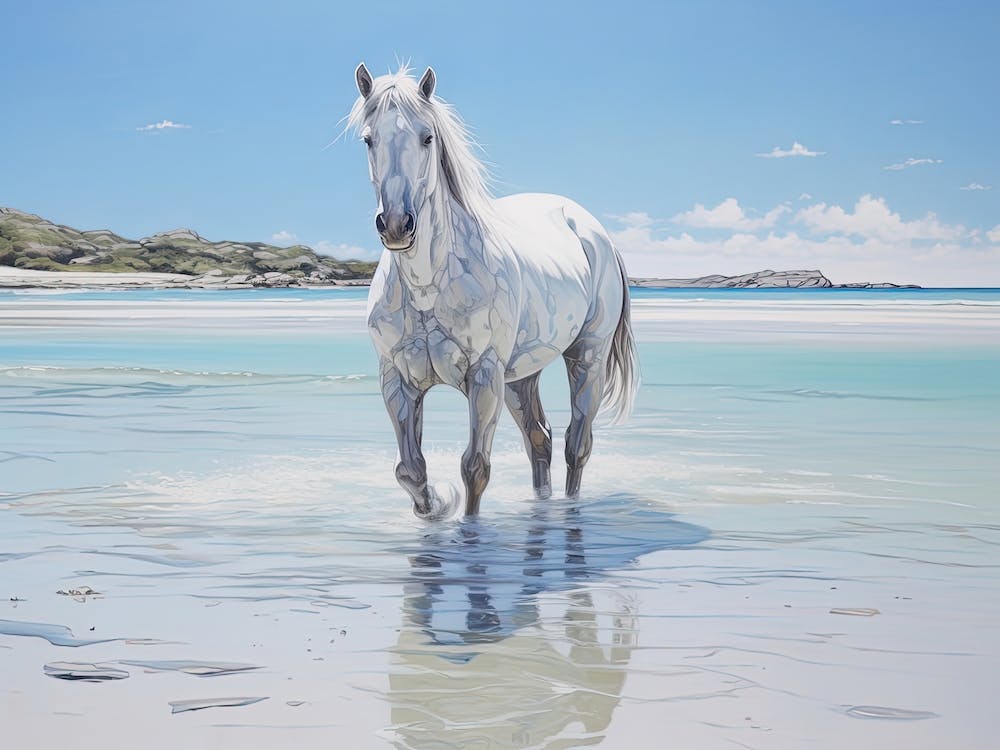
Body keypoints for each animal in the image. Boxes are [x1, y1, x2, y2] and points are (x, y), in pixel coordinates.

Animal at [349, 63, 638, 519]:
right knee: (541, 440)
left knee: (577, 444)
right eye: (368, 139)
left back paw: (570, 508)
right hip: (520, 377)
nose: (396, 225)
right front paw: (435, 507)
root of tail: (591, 229)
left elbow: (475, 468)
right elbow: (409, 470)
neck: (428, 286)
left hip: (586, 359)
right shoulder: (396, 380)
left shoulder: (484, 376)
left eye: (427, 137)